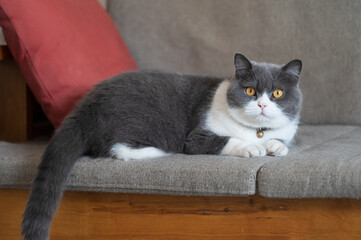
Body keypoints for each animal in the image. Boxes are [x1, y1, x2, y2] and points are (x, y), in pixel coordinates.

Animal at [21, 53, 300, 239]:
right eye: (251, 91)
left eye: (277, 94)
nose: (262, 105)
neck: (256, 130)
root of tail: (87, 102)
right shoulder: (196, 137)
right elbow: (224, 140)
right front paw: (252, 148)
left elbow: (281, 140)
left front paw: (276, 147)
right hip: (141, 122)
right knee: (116, 148)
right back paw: (157, 150)